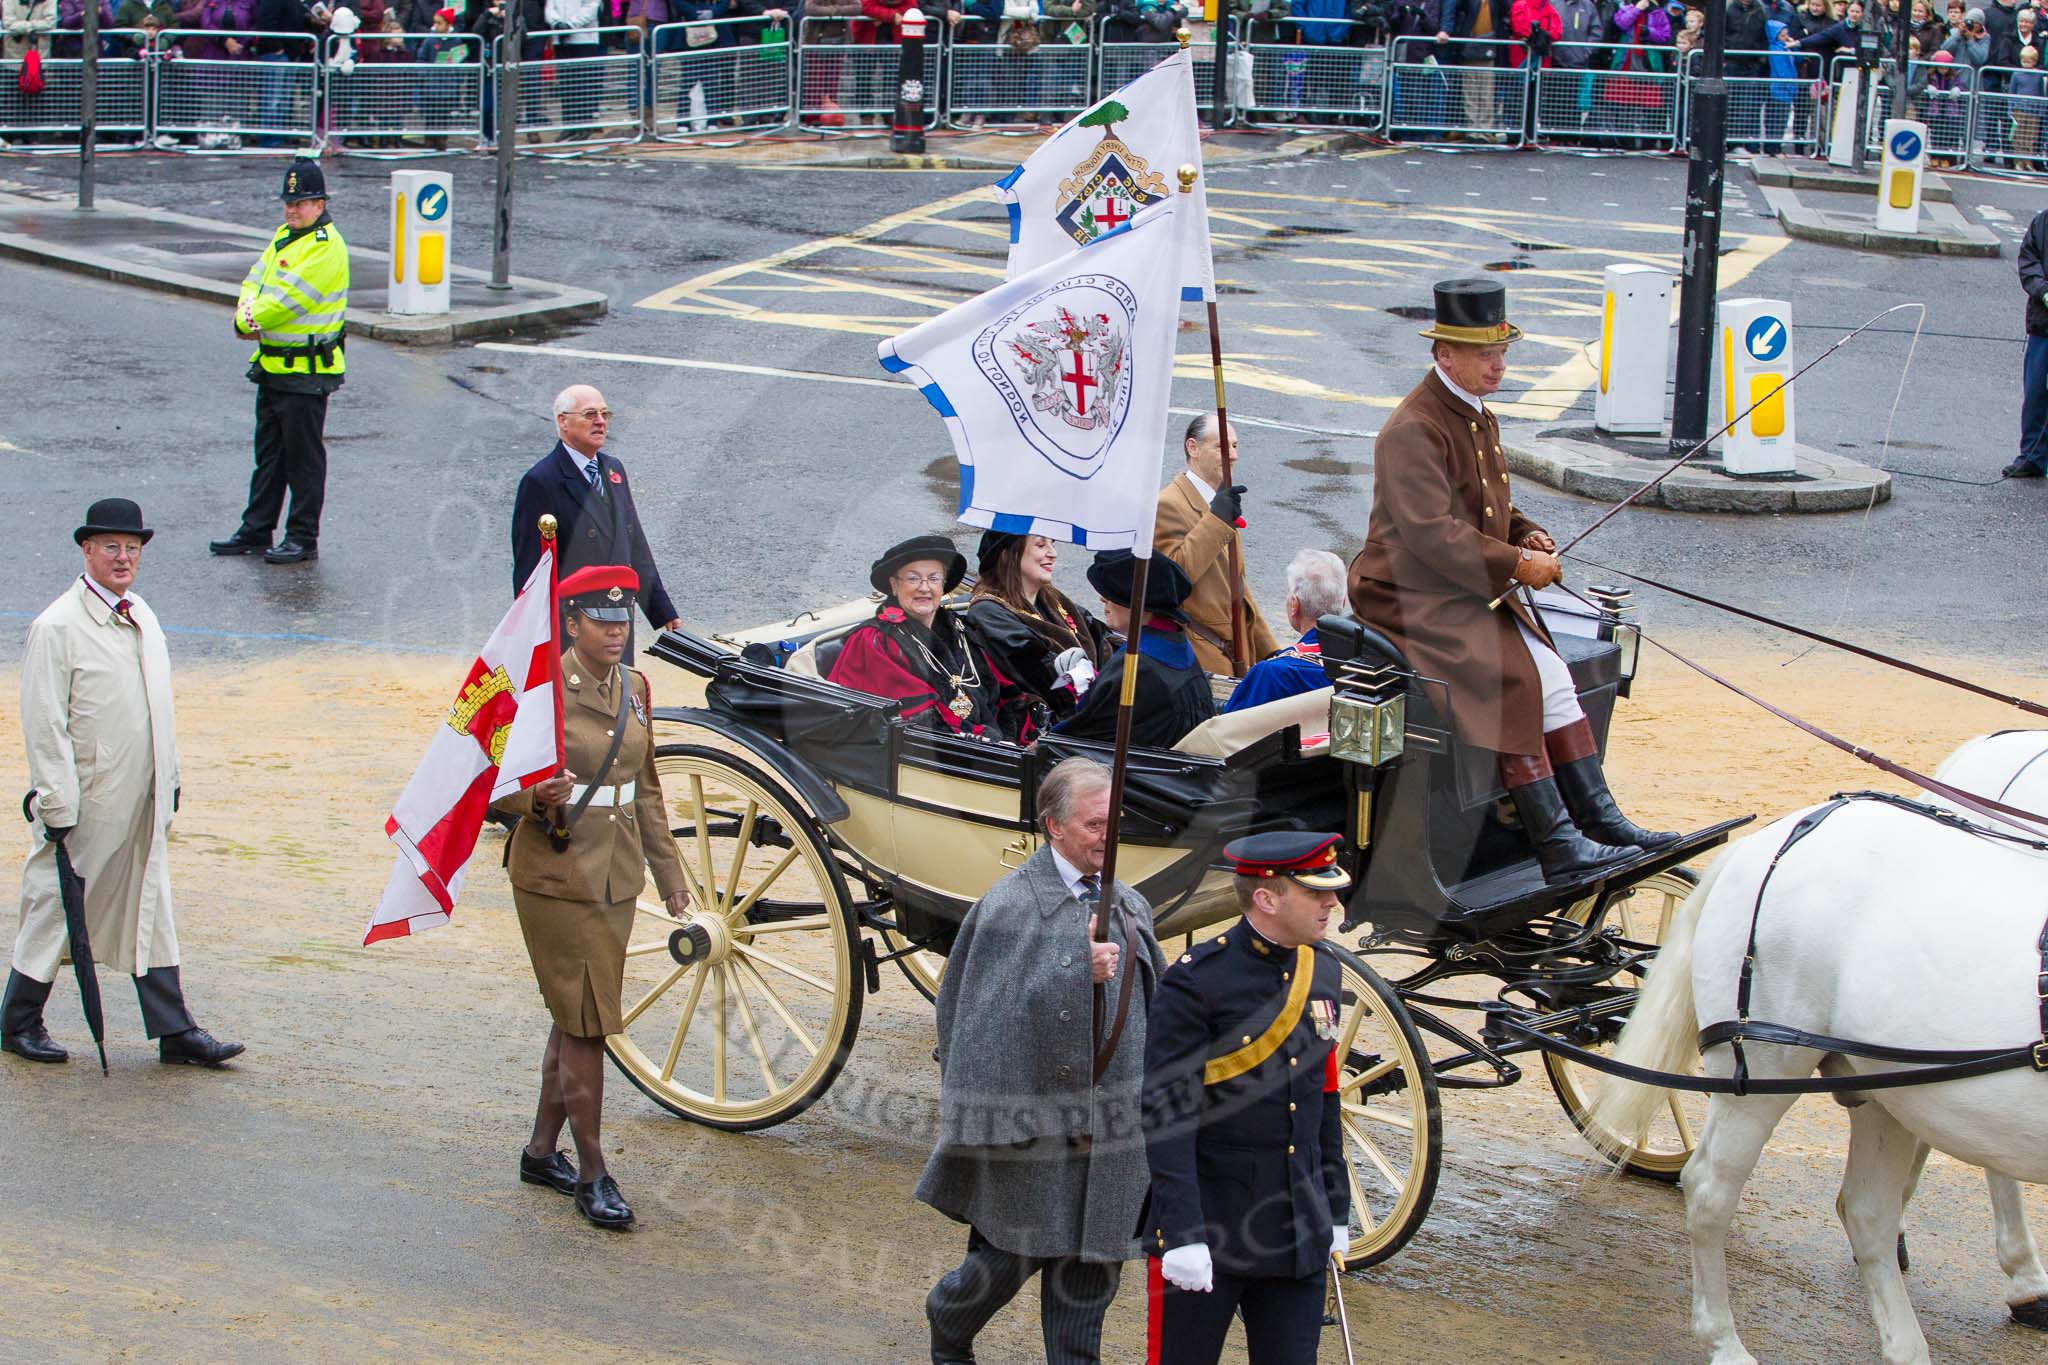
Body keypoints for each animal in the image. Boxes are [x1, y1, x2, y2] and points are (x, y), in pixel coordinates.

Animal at [1581, 769, 2048, 1365]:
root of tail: (1774, 838)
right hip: (1762, 1076)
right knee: (1709, 1190)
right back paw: (1724, 1343)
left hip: (1887, 1087)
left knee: (1868, 1213)